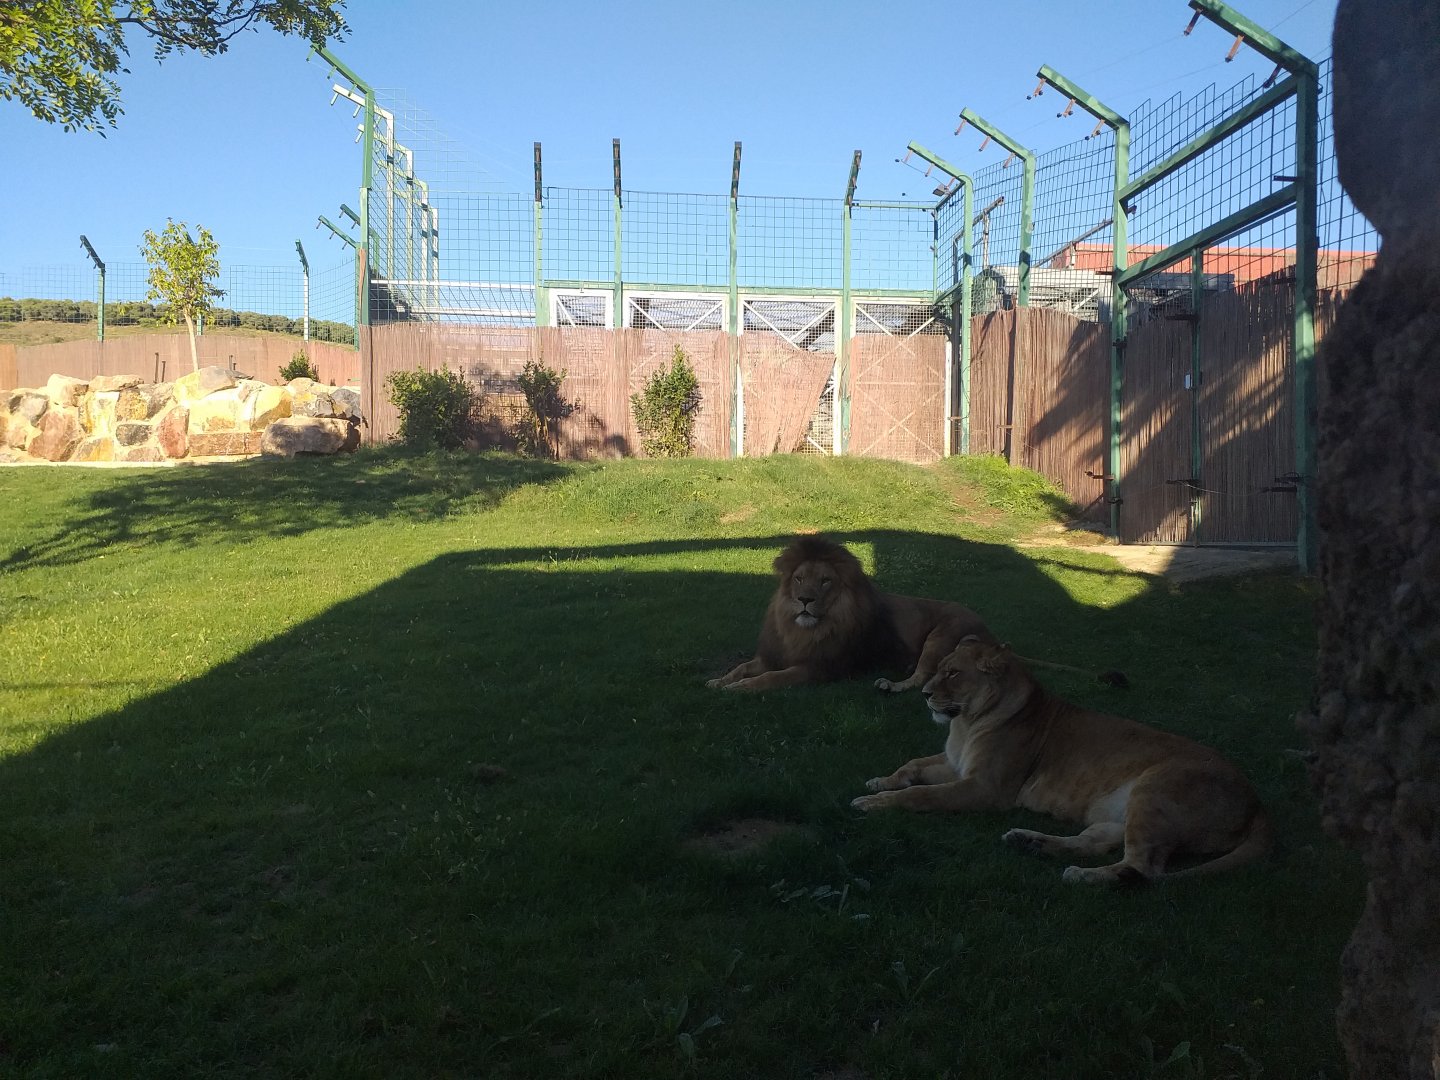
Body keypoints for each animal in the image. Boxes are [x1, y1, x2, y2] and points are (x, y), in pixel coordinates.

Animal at [705, 536, 993, 693]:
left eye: (825, 581)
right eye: (799, 579)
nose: (804, 600)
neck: (801, 631)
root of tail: (988, 631)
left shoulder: (818, 668)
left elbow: (771, 677)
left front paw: (737, 688)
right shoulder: (775, 655)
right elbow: (742, 667)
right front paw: (718, 681)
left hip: (941, 636)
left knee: (922, 678)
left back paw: (889, 685)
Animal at [851, 637, 1269, 884]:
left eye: (952, 673)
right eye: (938, 669)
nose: (923, 693)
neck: (966, 723)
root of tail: (1257, 801)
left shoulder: (987, 788)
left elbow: (920, 796)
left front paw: (873, 803)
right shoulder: (955, 765)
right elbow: (912, 766)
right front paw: (879, 782)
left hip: (1154, 789)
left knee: (1142, 869)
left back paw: (1081, 877)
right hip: (1118, 816)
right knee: (1092, 843)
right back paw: (1029, 843)